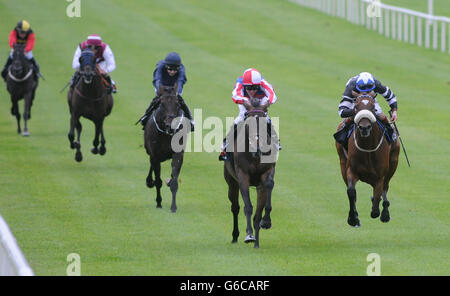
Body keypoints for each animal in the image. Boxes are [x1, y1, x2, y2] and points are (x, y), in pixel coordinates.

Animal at [142, 83, 188, 213]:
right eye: (162, 104)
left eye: (178, 104)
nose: (170, 124)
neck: (167, 134)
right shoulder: (155, 155)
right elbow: (158, 181)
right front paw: (159, 202)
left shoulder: (178, 154)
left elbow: (174, 181)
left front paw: (173, 207)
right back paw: (149, 181)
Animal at [222, 98, 278, 249]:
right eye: (248, 124)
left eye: (265, 124)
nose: (258, 146)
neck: (254, 154)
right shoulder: (242, 176)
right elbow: (247, 207)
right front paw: (249, 235)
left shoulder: (267, 171)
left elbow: (269, 185)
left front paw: (266, 221)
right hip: (231, 182)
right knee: (235, 208)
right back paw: (236, 236)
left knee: (257, 212)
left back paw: (257, 241)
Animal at [334, 93, 400, 228]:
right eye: (356, 106)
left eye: (373, 107)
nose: (364, 127)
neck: (367, 148)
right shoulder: (351, 170)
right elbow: (351, 192)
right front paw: (353, 219)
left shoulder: (380, 176)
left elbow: (377, 199)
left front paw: (379, 210)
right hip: (342, 161)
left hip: (393, 162)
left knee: (385, 187)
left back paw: (385, 214)